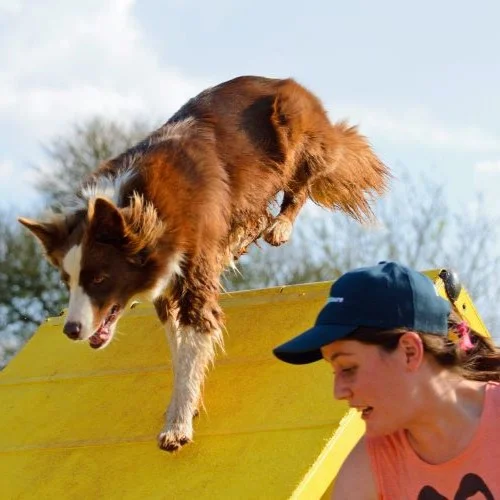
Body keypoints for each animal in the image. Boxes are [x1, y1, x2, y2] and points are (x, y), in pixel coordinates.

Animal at [19, 75, 388, 454]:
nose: (71, 330)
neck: (143, 206)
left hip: (296, 131)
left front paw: (177, 425)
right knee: (255, 216)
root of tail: (282, 81)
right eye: (67, 281)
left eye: (99, 278)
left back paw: (280, 227)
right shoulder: (167, 287)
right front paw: (185, 403)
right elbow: (179, 345)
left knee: (300, 182)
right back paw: (239, 241)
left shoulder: (195, 270)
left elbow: (194, 338)